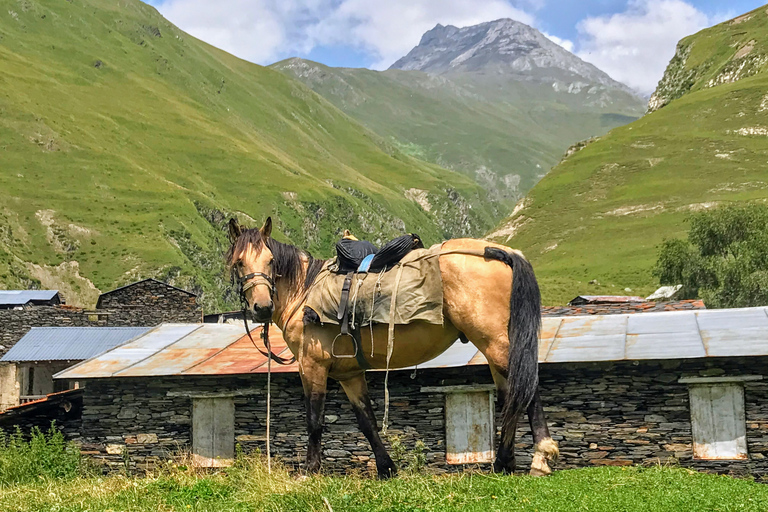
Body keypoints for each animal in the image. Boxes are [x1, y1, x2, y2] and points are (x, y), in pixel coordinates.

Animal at [226, 217, 560, 480]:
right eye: (239, 262)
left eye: (270, 261)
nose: (262, 307)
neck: (305, 292)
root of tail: (500, 252)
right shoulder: (349, 375)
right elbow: (367, 421)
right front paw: (386, 468)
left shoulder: (312, 367)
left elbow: (314, 419)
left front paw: (310, 470)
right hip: (495, 346)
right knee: (511, 395)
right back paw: (503, 463)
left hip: (495, 343)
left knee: (526, 389)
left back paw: (540, 457)